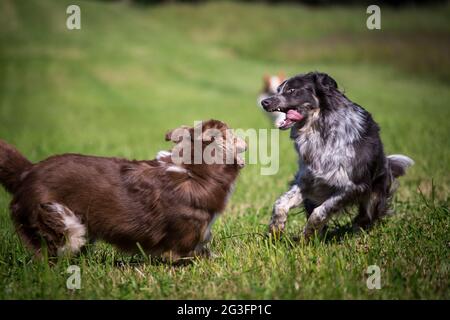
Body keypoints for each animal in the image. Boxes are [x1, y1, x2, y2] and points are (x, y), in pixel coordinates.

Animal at [0, 120, 246, 260]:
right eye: (233, 134)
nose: (247, 140)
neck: (194, 172)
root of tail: (27, 171)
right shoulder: (180, 246)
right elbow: (194, 255)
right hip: (64, 225)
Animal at [260, 71, 414, 239]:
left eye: (292, 90)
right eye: (278, 90)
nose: (264, 102)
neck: (319, 131)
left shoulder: (353, 186)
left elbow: (320, 212)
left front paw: (307, 236)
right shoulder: (307, 181)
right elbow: (280, 203)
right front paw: (276, 229)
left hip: (373, 196)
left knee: (365, 217)